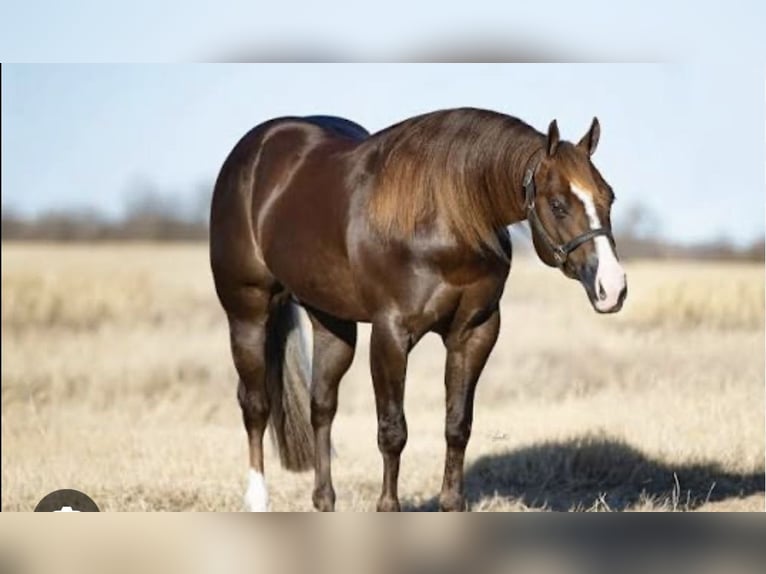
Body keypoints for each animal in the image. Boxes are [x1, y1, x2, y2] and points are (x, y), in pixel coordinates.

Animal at [209, 107, 627, 512]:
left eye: (609, 197)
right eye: (558, 204)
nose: (613, 288)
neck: (445, 219)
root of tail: (256, 147)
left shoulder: (475, 332)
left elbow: (458, 425)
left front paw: (452, 503)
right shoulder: (391, 333)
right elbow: (393, 431)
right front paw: (388, 507)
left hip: (332, 321)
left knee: (321, 407)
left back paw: (324, 501)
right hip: (247, 313)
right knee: (256, 405)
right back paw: (257, 500)